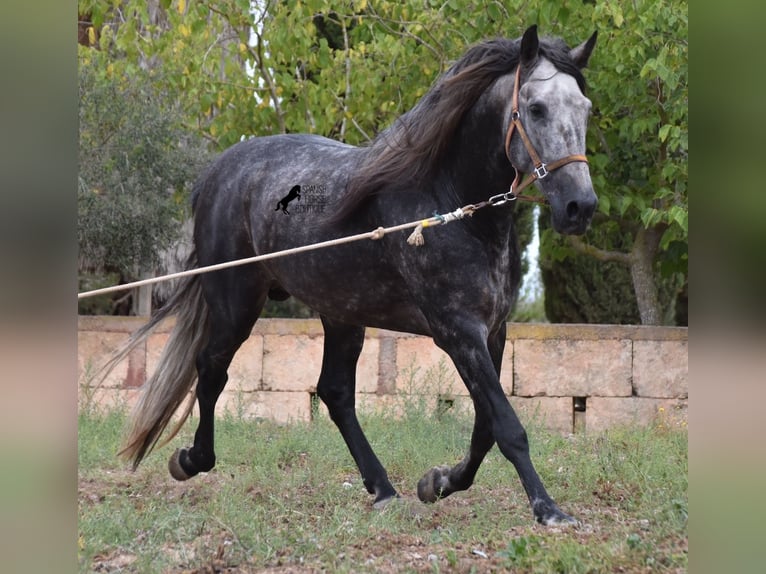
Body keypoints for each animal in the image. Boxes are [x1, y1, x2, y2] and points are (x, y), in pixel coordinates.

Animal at [105, 25, 600, 528]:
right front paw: (550, 510)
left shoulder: (493, 331)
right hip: (236, 301)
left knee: (334, 392)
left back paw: (383, 488)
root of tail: (217, 173)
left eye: (585, 108)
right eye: (536, 108)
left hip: (341, 312)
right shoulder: (458, 332)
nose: (579, 207)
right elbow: (507, 425)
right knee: (211, 369)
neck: (449, 204)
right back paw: (191, 460)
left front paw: (437, 482)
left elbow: (484, 428)